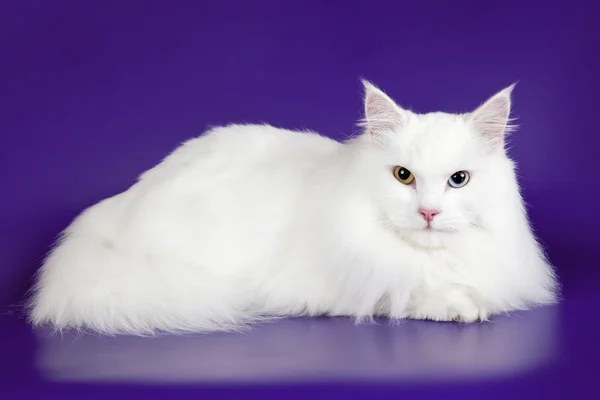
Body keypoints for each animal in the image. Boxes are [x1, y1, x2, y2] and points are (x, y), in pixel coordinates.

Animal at [25, 80, 560, 334]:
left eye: (458, 180)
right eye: (403, 176)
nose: (428, 213)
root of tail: (112, 213)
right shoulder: (341, 288)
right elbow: (403, 293)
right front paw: (459, 305)